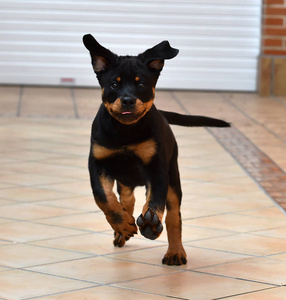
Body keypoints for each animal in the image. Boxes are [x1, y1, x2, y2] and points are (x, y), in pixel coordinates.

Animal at [82, 34, 230, 266]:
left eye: (141, 84)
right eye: (114, 84)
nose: (127, 100)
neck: (125, 131)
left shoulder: (157, 169)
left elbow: (156, 201)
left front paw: (151, 223)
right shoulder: (97, 163)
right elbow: (103, 197)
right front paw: (121, 223)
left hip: (173, 176)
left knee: (173, 216)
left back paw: (174, 251)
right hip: (125, 179)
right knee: (127, 200)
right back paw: (122, 230)